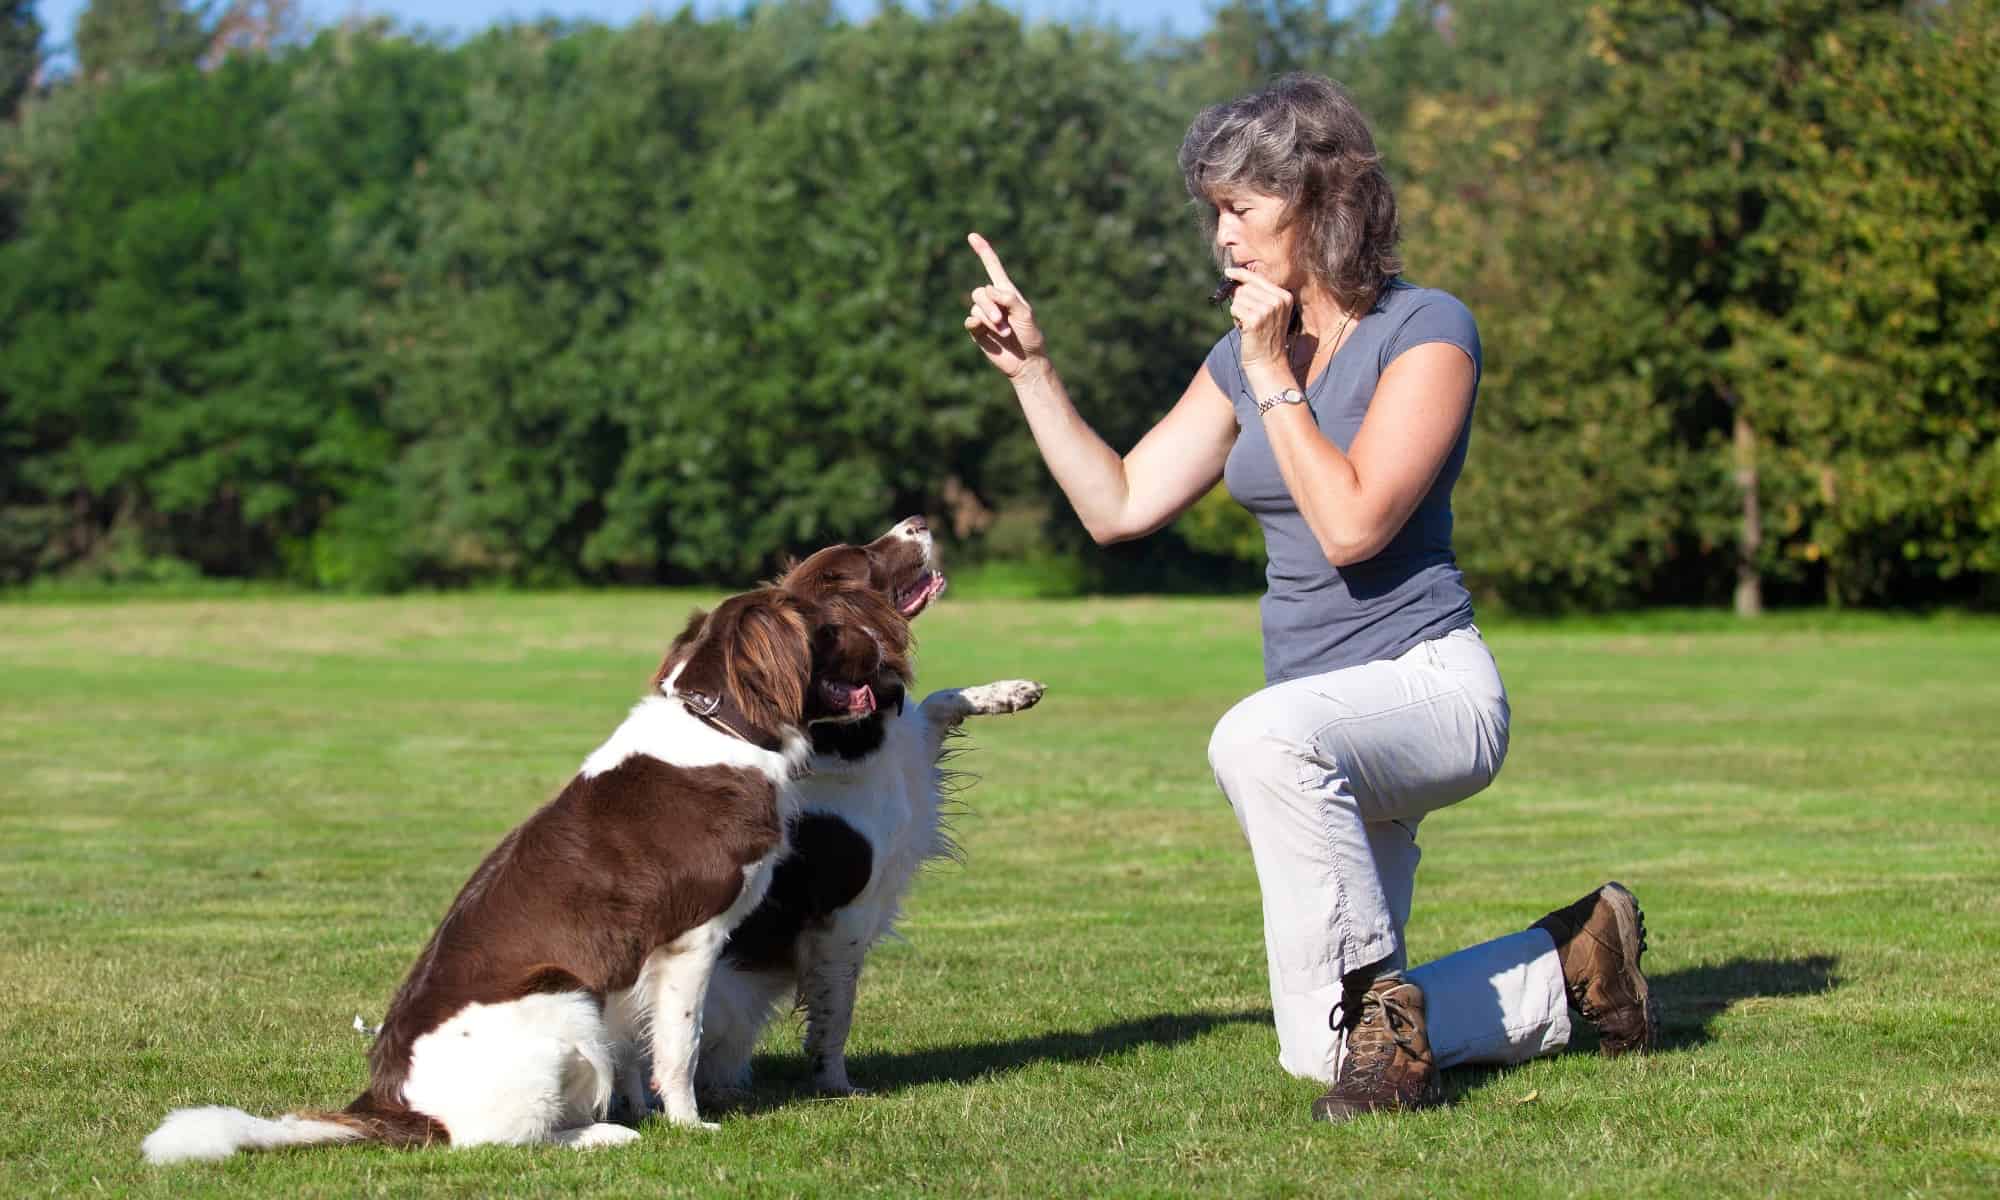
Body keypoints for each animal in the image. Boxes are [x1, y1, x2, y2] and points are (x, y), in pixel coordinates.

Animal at [145, 580, 912, 1160]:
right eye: (830, 626)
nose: (888, 648)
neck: (717, 725)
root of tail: (394, 1106)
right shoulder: (691, 940)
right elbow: (679, 1045)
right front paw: (689, 1122)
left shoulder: (628, 962)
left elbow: (634, 1046)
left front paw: (644, 1108)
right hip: (561, 1002)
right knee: (496, 1140)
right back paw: (603, 1135)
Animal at [696, 516, 1048, 1096]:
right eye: (864, 557)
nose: (919, 520)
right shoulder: (843, 915)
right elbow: (837, 1010)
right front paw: (836, 1084)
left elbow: (940, 701)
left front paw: (1011, 691)